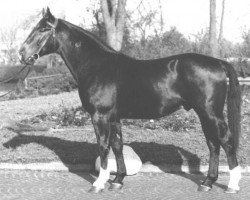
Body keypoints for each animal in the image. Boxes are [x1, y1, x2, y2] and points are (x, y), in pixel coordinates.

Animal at [18, 7, 241, 194]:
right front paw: (117, 180)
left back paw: (232, 185)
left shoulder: (100, 116)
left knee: (226, 141)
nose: (21, 53)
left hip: (210, 113)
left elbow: (103, 147)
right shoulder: (114, 117)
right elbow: (117, 146)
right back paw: (207, 183)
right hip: (204, 114)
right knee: (213, 144)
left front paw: (99, 183)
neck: (97, 66)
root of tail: (218, 62)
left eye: (43, 29)